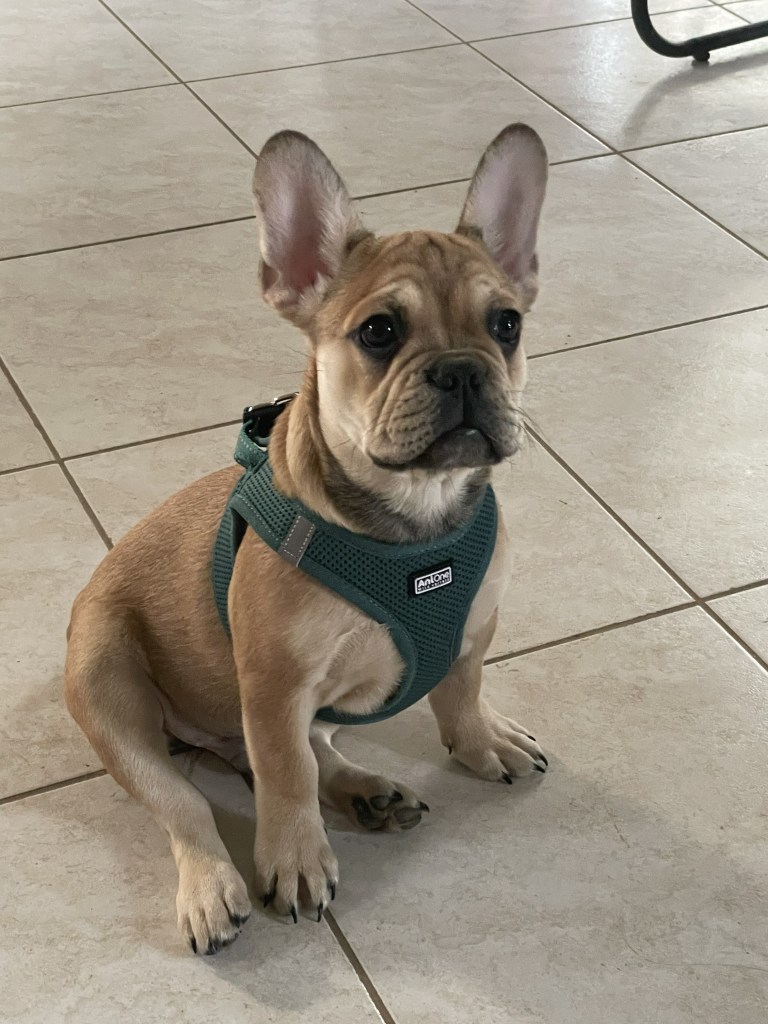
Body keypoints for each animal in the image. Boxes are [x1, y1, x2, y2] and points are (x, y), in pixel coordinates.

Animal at [64, 123, 549, 956]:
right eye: (380, 332)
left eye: (506, 325)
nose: (461, 370)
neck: (412, 528)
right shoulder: (275, 681)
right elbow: (286, 774)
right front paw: (294, 859)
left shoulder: (474, 628)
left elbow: (460, 692)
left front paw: (482, 739)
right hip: (102, 675)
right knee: (186, 798)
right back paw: (214, 884)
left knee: (306, 754)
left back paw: (366, 792)